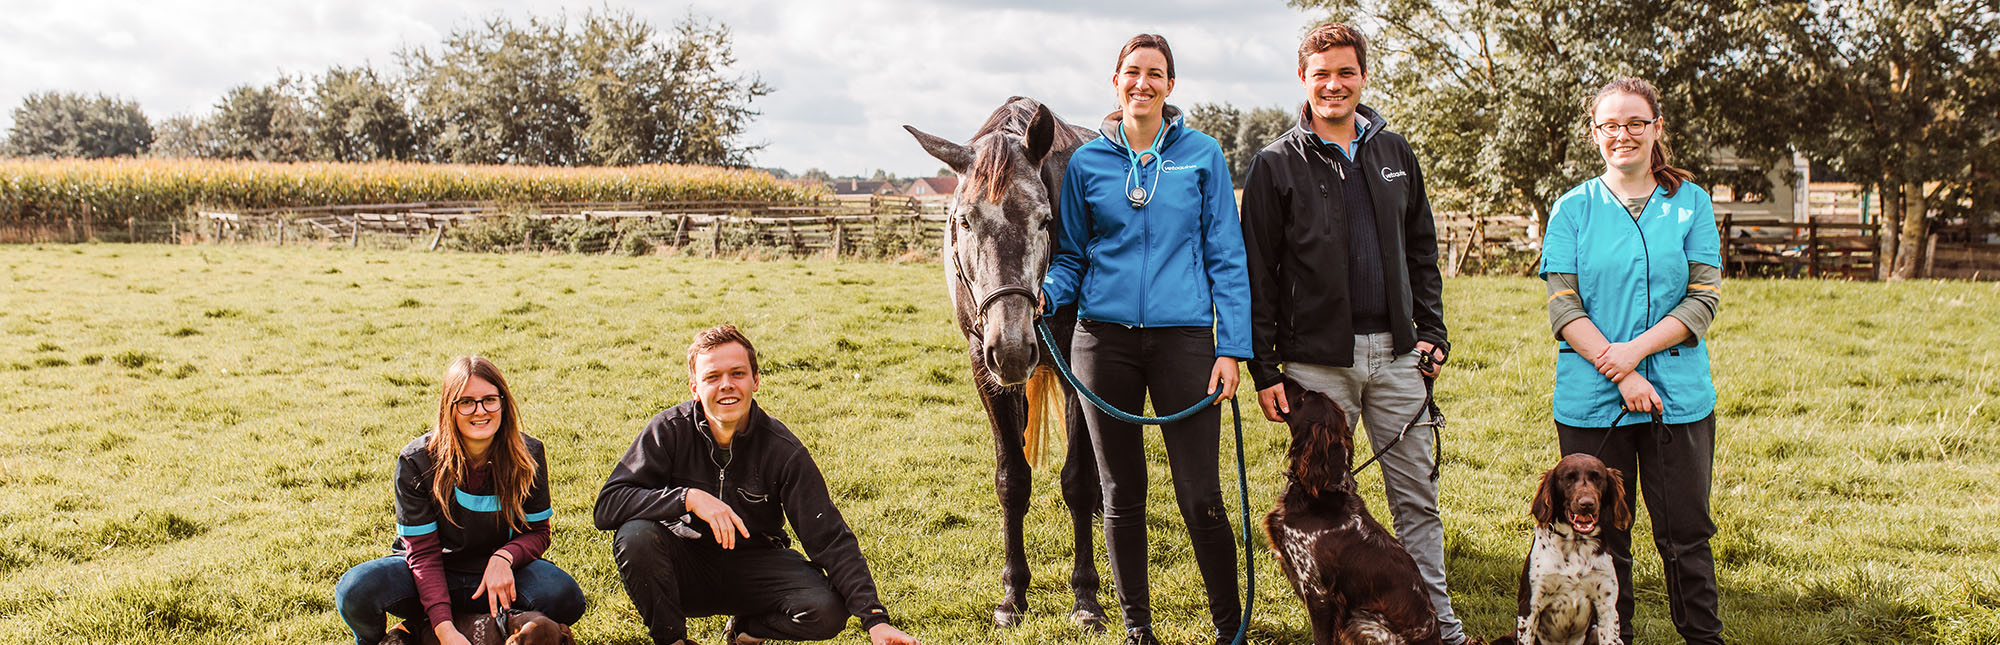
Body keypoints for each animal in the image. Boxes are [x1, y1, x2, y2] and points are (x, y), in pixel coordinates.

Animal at [1496, 452, 1632, 645]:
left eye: (1598, 477)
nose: (1587, 503)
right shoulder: (1530, 604)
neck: (1575, 544)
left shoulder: (1607, 606)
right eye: (1568, 478)